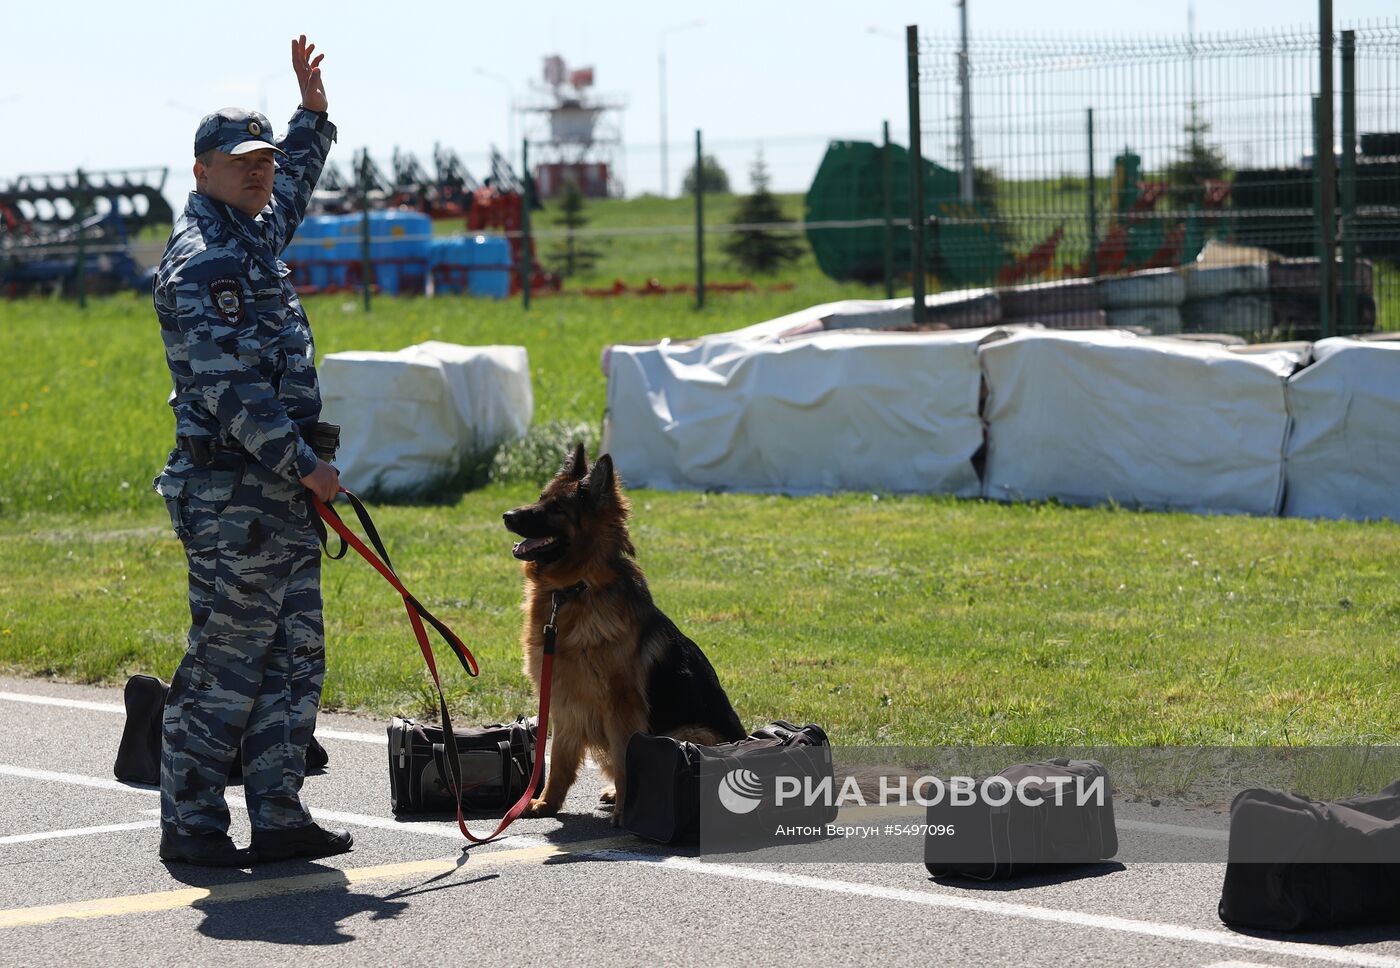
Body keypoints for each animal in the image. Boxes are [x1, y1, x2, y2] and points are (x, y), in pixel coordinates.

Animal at [501, 442, 744, 823]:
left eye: (556, 508)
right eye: (540, 497)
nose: (507, 515)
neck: (575, 589)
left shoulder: (621, 706)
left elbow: (625, 759)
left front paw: (626, 814)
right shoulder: (564, 702)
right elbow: (560, 762)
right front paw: (544, 802)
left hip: (690, 733)